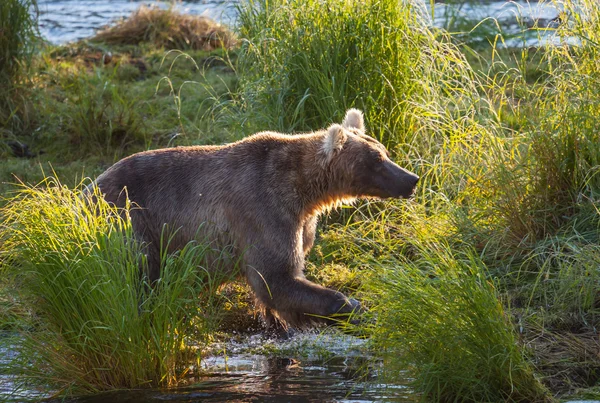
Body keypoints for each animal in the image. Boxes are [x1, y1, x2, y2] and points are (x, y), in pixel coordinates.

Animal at [96, 109, 420, 328]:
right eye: (377, 159)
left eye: (384, 151)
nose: (412, 179)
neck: (305, 191)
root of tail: (90, 186)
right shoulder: (263, 209)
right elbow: (275, 277)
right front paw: (354, 306)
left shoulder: (300, 220)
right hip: (130, 219)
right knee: (137, 270)